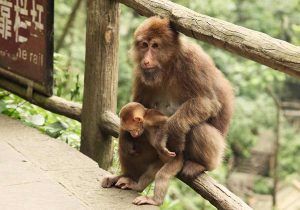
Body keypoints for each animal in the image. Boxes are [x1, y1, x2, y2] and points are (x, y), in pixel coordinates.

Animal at [101, 16, 234, 205]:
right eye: (144, 45)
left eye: (155, 46)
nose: (146, 60)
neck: (168, 67)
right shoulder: (142, 73)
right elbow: (139, 105)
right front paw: (127, 135)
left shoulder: (193, 62)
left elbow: (207, 102)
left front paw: (173, 130)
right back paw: (128, 177)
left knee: (199, 129)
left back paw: (199, 165)